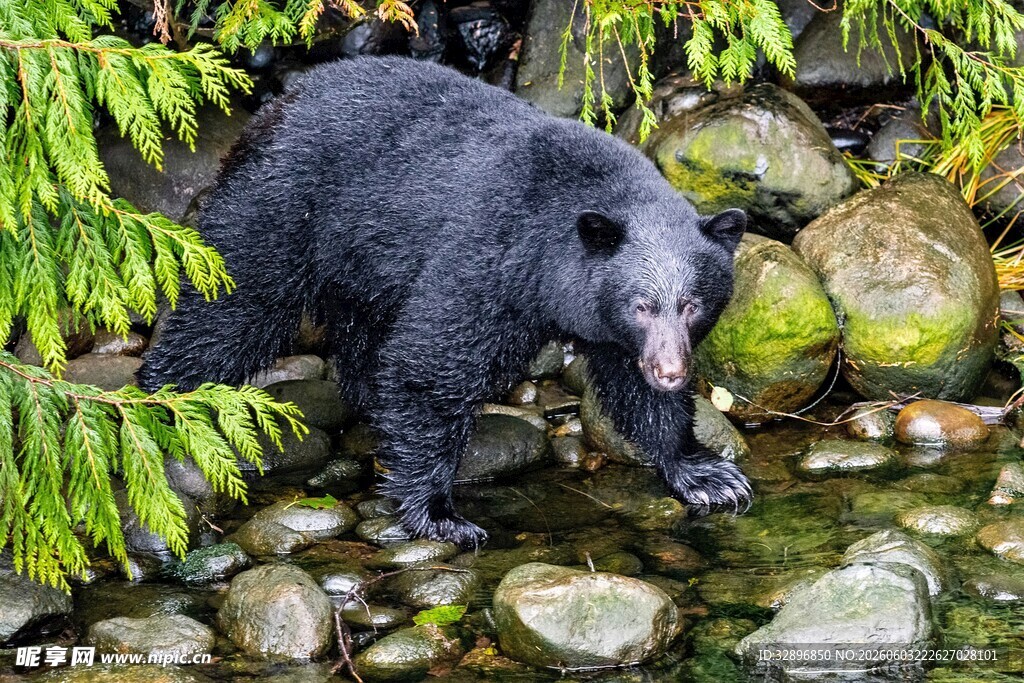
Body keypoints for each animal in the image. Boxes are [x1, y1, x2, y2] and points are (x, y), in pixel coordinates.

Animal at [138, 56, 752, 548]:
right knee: (233, 309)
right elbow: (431, 363)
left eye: (693, 304)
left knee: (359, 331)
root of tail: (276, 106)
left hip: (361, 260)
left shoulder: (611, 331)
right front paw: (439, 513)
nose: (672, 371)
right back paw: (164, 400)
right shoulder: (489, 260)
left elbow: (634, 389)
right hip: (282, 209)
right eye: (642, 304)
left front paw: (704, 473)